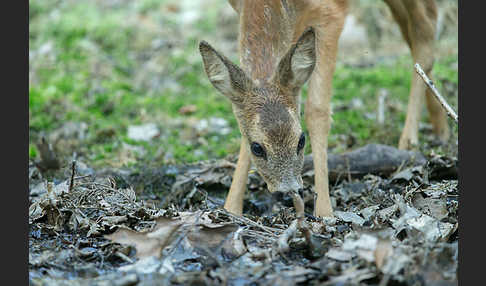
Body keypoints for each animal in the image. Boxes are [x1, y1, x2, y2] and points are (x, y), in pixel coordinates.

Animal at [197, 0, 448, 217]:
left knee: (425, 29)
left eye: (301, 141)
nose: (288, 190)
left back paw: (409, 141)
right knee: (412, 31)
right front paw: (231, 208)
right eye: (257, 147)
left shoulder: (329, 13)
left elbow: (317, 110)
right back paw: (439, 125)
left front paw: (325, 212)